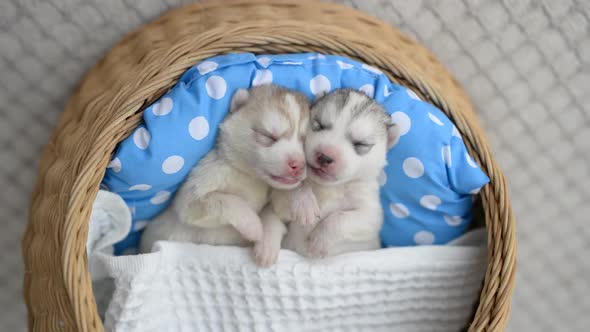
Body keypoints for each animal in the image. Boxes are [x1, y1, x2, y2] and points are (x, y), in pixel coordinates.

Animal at [142, 84, 312, 253]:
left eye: (304, 142)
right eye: (268, 136)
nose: (298, 165)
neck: (250, 176)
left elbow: (277, 209)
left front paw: (302, 199)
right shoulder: (196, 191)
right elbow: (225, 200)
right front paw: (254, 225)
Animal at [254, 87, 398, 264]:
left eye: (360, 144)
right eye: (319, 125)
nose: (324, 157)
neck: (327, 187)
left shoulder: (370, 211)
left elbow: (348, 217)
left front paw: (319, 240)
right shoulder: (281, 203)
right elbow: (289, 191)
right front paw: (304, 201)